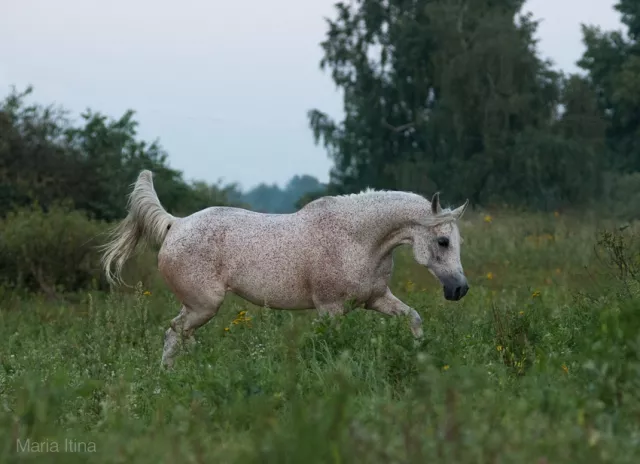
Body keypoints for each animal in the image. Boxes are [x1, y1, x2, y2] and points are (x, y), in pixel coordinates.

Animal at [101, 170, 470, 368]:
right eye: (442, 241)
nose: (459, 289)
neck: (357, 238)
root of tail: (175, 224)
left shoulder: (376, 299)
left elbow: (413, 318)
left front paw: (422, 355)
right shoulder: (330, 308)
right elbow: (335, 342)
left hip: (197, 307)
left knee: (180, 335)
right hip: (203, 305)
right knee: (174, 333)